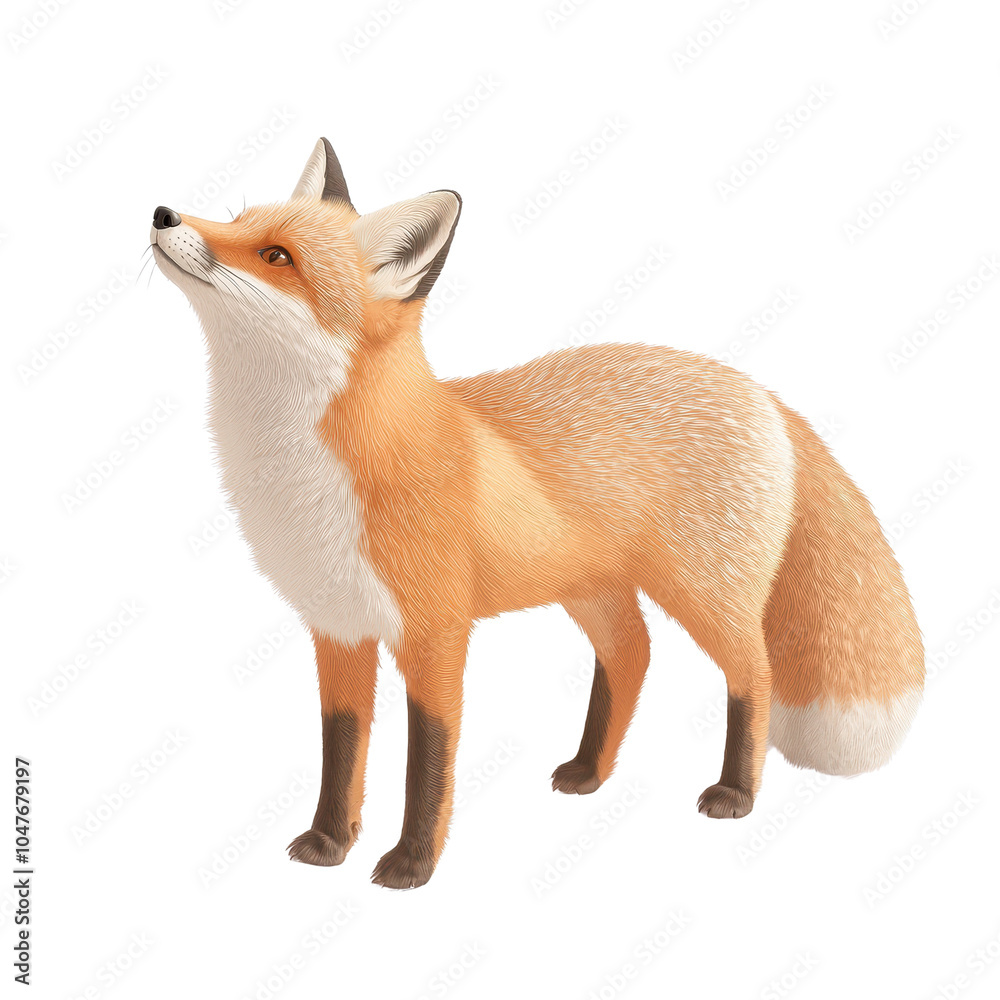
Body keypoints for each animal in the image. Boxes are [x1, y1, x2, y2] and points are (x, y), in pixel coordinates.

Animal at [150, 137, 924, 889]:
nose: (162, 213)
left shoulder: (436, 634)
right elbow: (341, 751)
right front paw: (328, 842)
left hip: (703, 591)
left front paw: (412, 865)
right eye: (239, 221)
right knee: (635, 653)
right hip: (594, 590)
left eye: (278, 256)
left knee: (753, 675)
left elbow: (427, 759)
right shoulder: (339, 627)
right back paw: (589, 771)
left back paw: (736, 792)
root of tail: (759, 390)